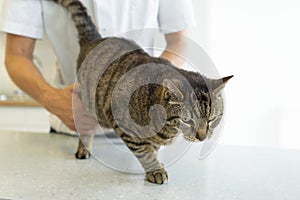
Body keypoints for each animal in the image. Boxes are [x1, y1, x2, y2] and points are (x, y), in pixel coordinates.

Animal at [52, 0, 233, 184]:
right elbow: (145, 151)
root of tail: (95, 39)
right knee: (85, 130)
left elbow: (153, 148)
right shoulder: (123, 125)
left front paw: (157, 161)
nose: (202, 137)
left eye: (211, 119)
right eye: (187, 120)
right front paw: (155, 169)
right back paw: (84, 148)